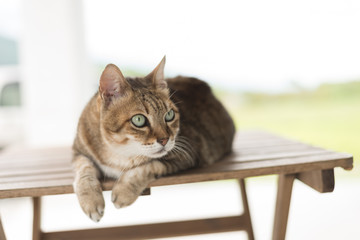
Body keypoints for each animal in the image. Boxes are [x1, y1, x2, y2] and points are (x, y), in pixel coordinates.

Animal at [71, 55, 235, 221]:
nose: (165, 140)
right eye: (138, 120)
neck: (118, 152)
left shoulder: (188, 153)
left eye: (169, 115)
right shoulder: (78, 152)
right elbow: (84, 171)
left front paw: (123, 192)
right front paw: (91, 200)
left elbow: (147, 167)